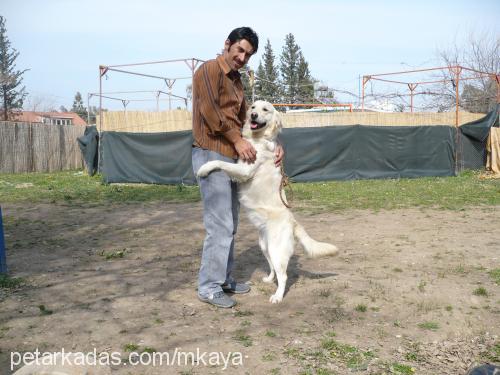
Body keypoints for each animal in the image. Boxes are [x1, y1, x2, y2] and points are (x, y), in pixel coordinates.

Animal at [197, 101, 338, 304]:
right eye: (253, 107)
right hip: (265, 246)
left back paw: (277, 296)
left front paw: (204, 168)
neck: (258, 139)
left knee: (284, 275)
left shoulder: (244, 170)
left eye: (266, 110)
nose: (253, 115)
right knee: (273, 268)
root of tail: (293, 221)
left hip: (277, 249)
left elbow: (220, 163)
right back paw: (269, 279)